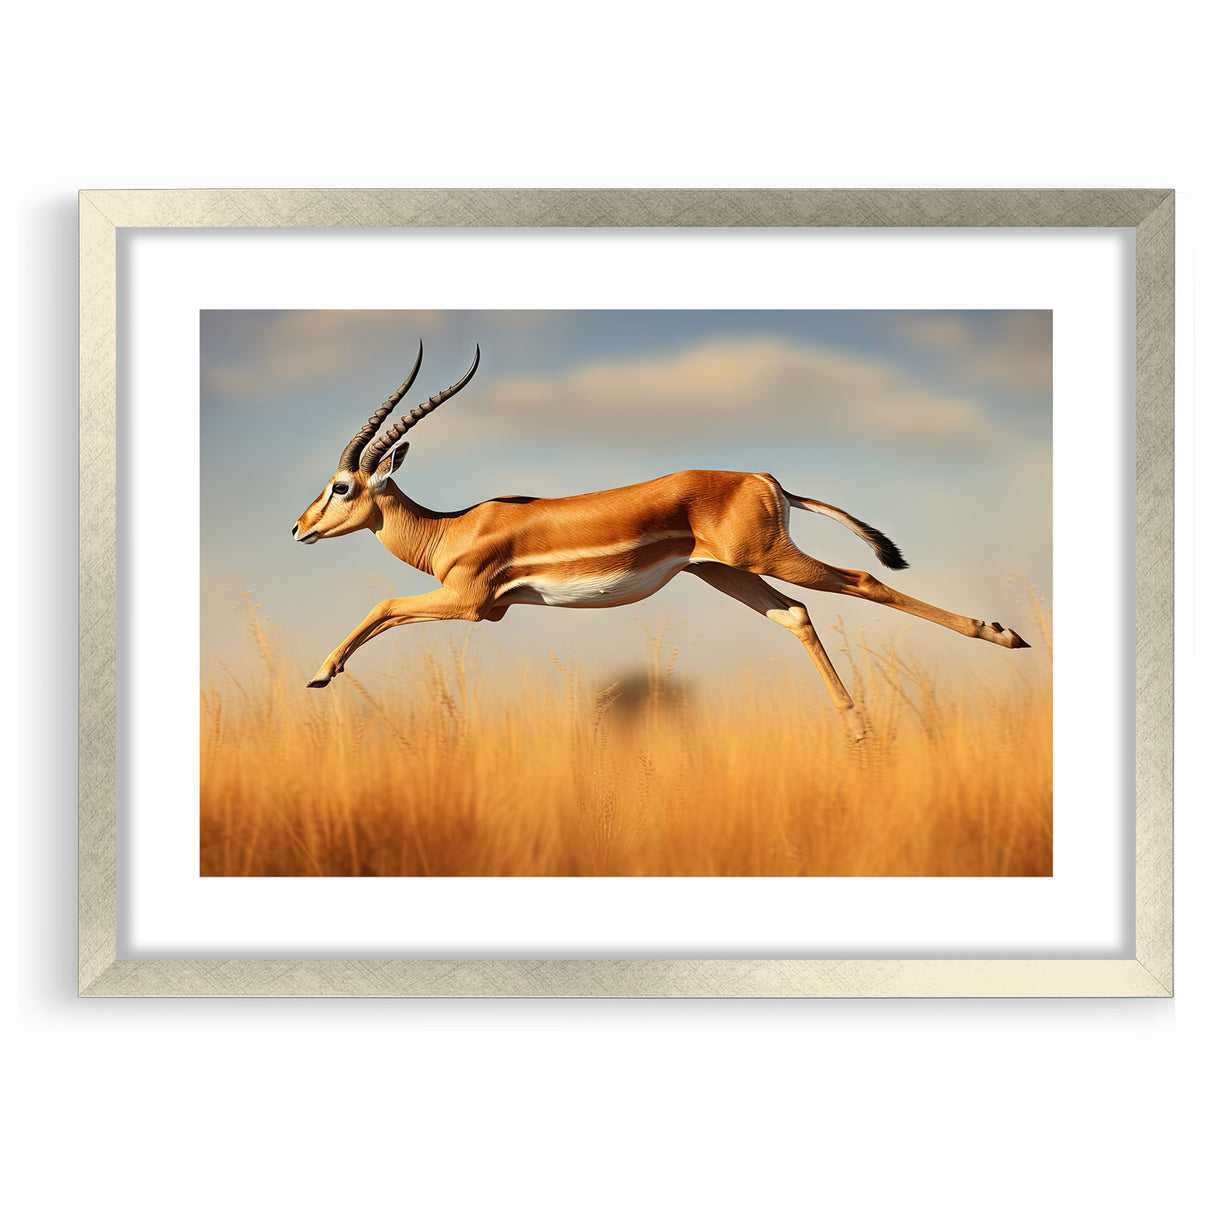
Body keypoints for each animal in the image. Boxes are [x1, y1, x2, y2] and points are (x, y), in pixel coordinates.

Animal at [292, 344, 1029, 740]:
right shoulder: (480, 608)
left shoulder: (473, 605)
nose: (298, 528)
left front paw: (320, 673)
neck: (450, 528)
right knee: (797, 615)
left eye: (341, 486)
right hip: (725, 573)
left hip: (764, 558)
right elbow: (387, 611)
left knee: (864, 581)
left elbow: (383, 606)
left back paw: (1004, 635)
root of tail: (766, 478)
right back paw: (859, 732)